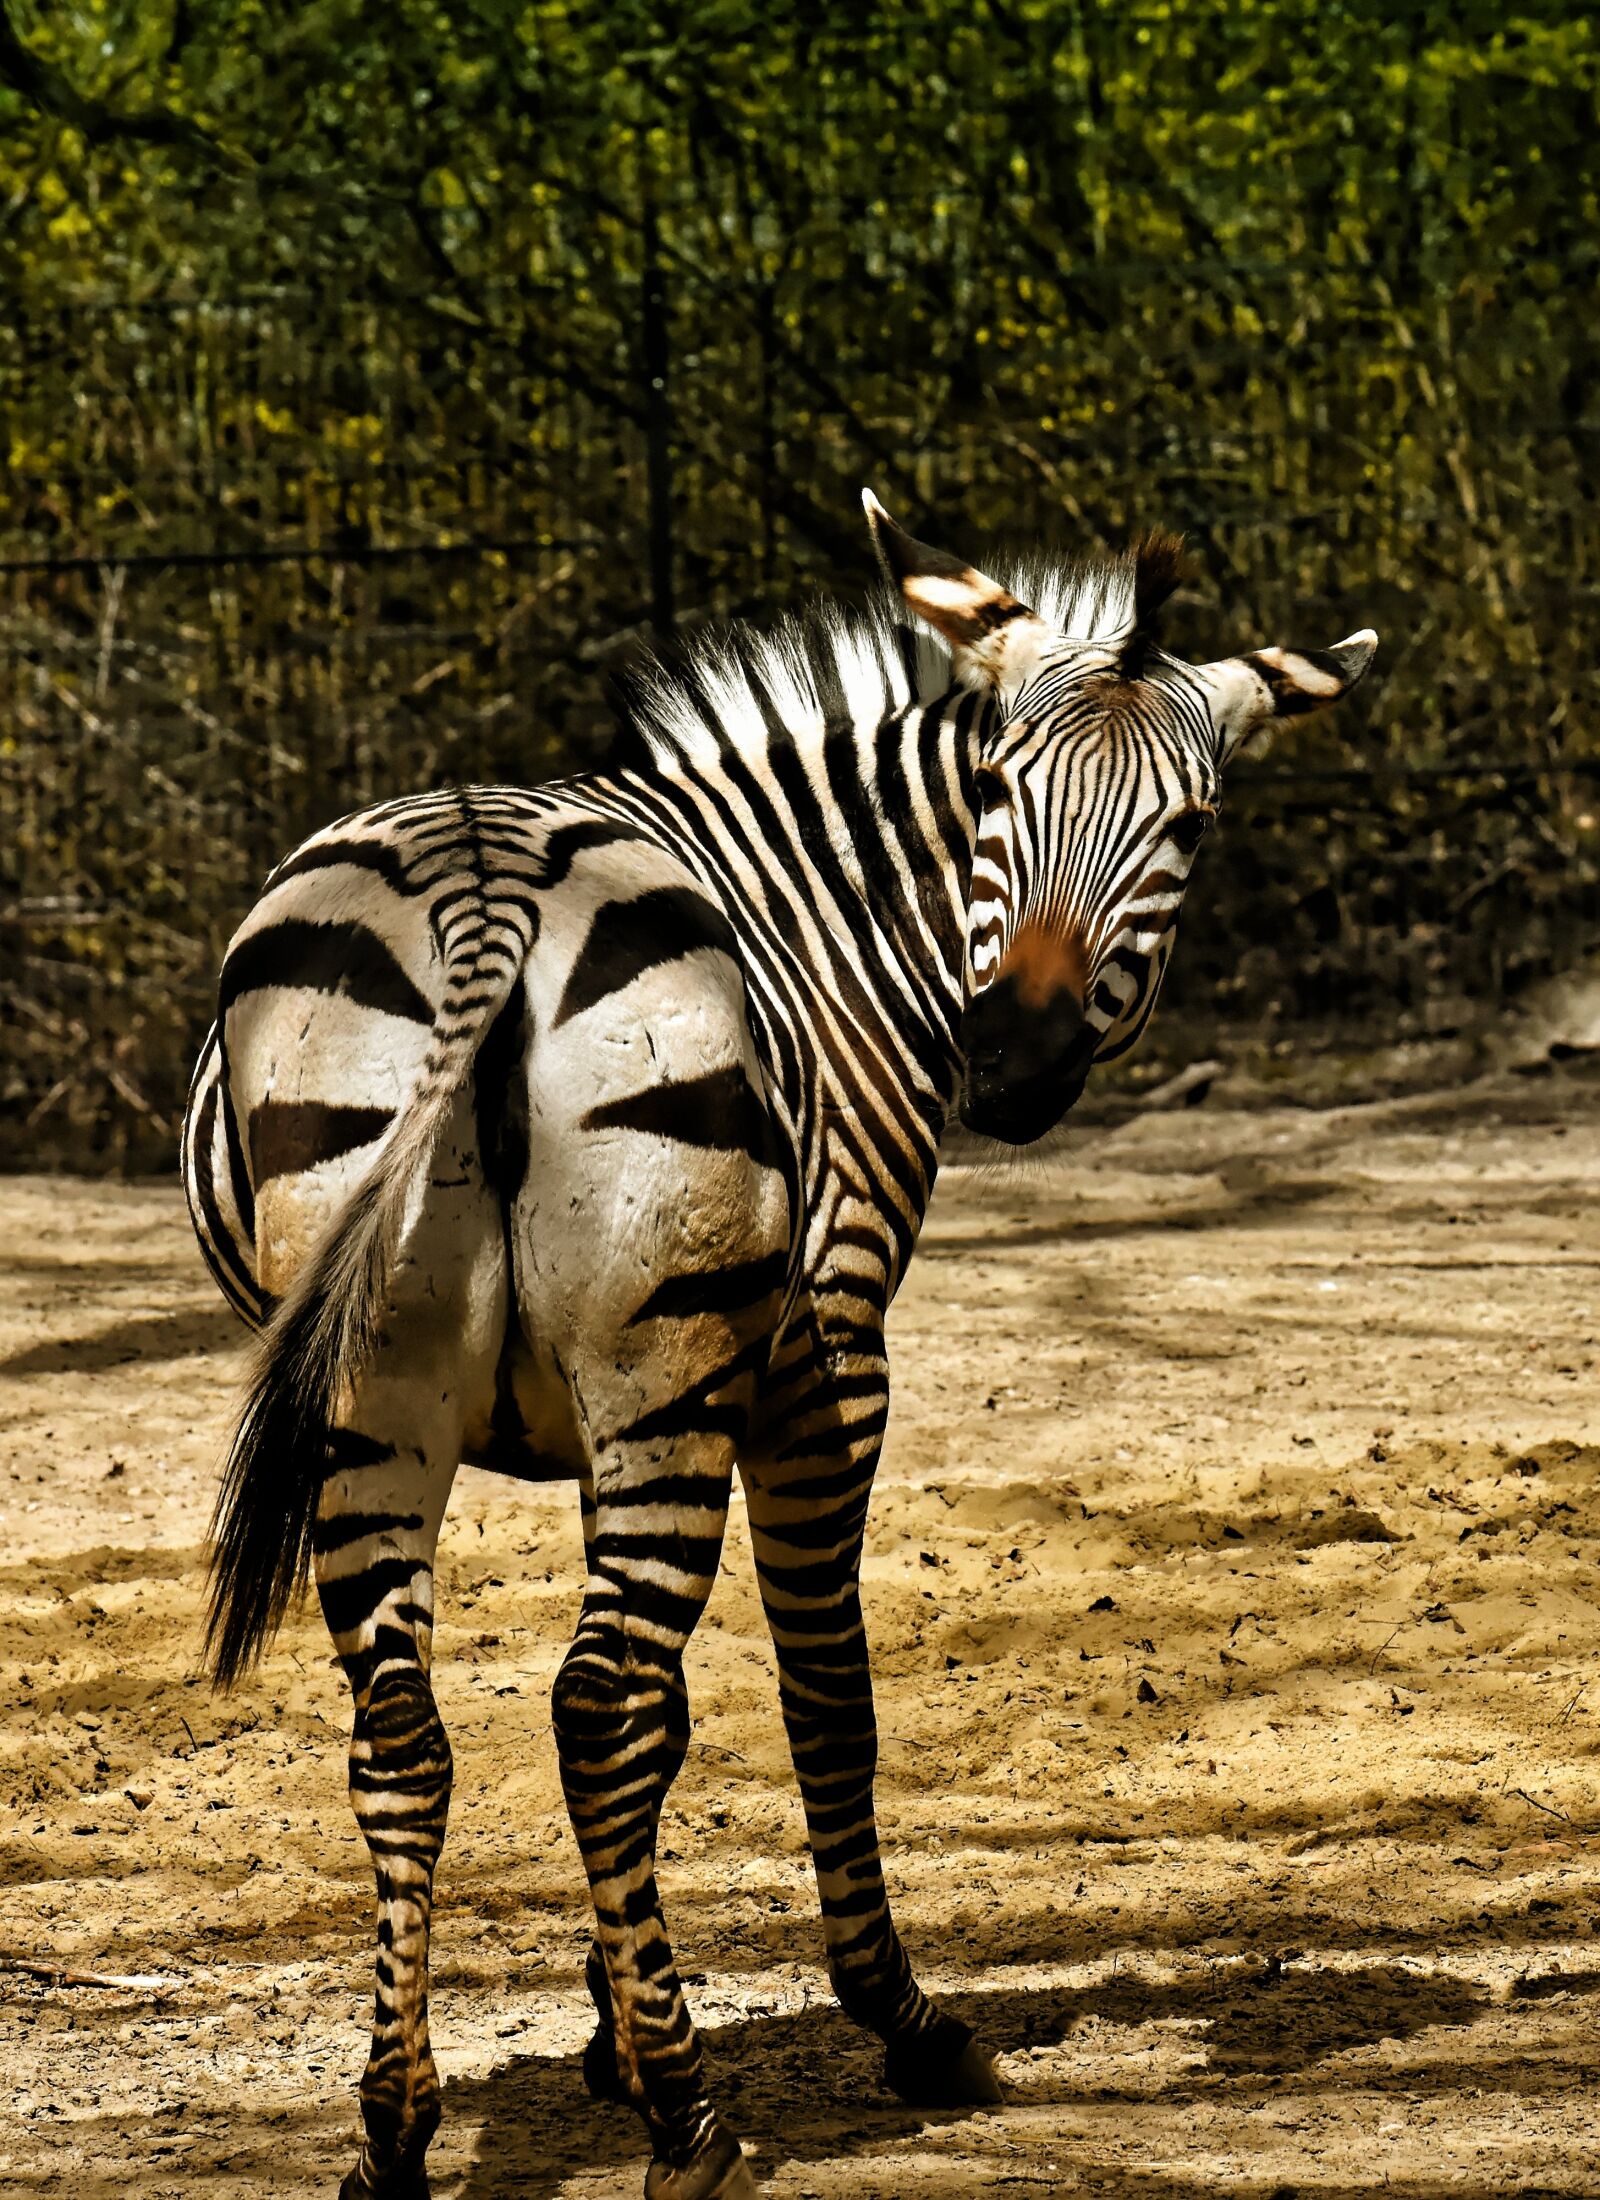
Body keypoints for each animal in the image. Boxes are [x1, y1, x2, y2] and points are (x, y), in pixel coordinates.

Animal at [182, 494, 1375, 2200]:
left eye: (1192, 826)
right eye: (1001, 788)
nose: (1011, 1060)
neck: (831, 923)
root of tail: (483, 885)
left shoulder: (602, 1412)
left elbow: (678, 1724)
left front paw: (613, 2035)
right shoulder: (821, 1362)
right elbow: (823, 1692)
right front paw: (883, 2024)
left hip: (385, 1390)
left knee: (411, 1730)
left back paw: (399, 2132)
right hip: (658, 1379)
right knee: (597, 1704)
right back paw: (696, 2125)